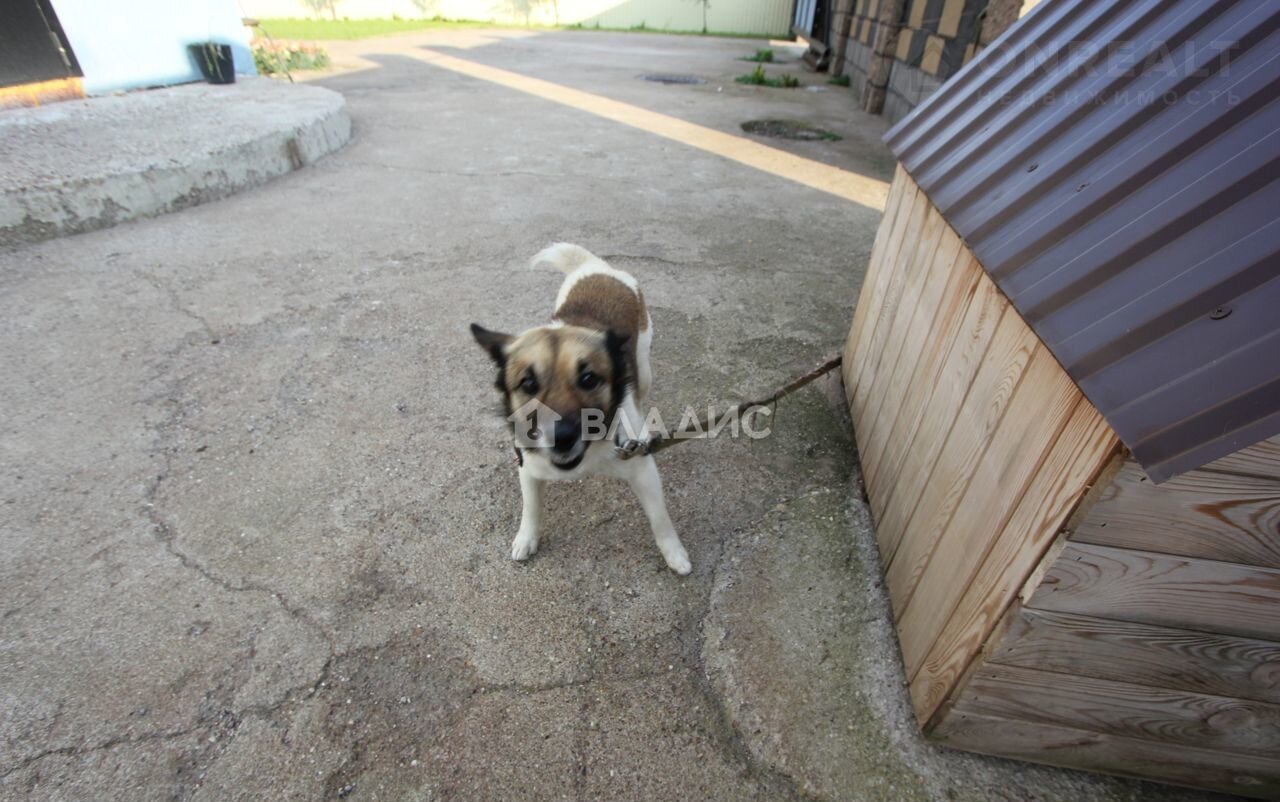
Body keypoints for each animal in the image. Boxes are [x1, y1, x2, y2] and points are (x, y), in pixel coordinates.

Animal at [470, 243, 692, 575]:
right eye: (527, 383)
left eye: (589, 379)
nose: (561, 437)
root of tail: (596, 267)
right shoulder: (528, 465)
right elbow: (531, 507)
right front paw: (526, 538)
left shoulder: (642, 469)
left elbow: (661, 519)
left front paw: (674, 554)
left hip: (644, 368)